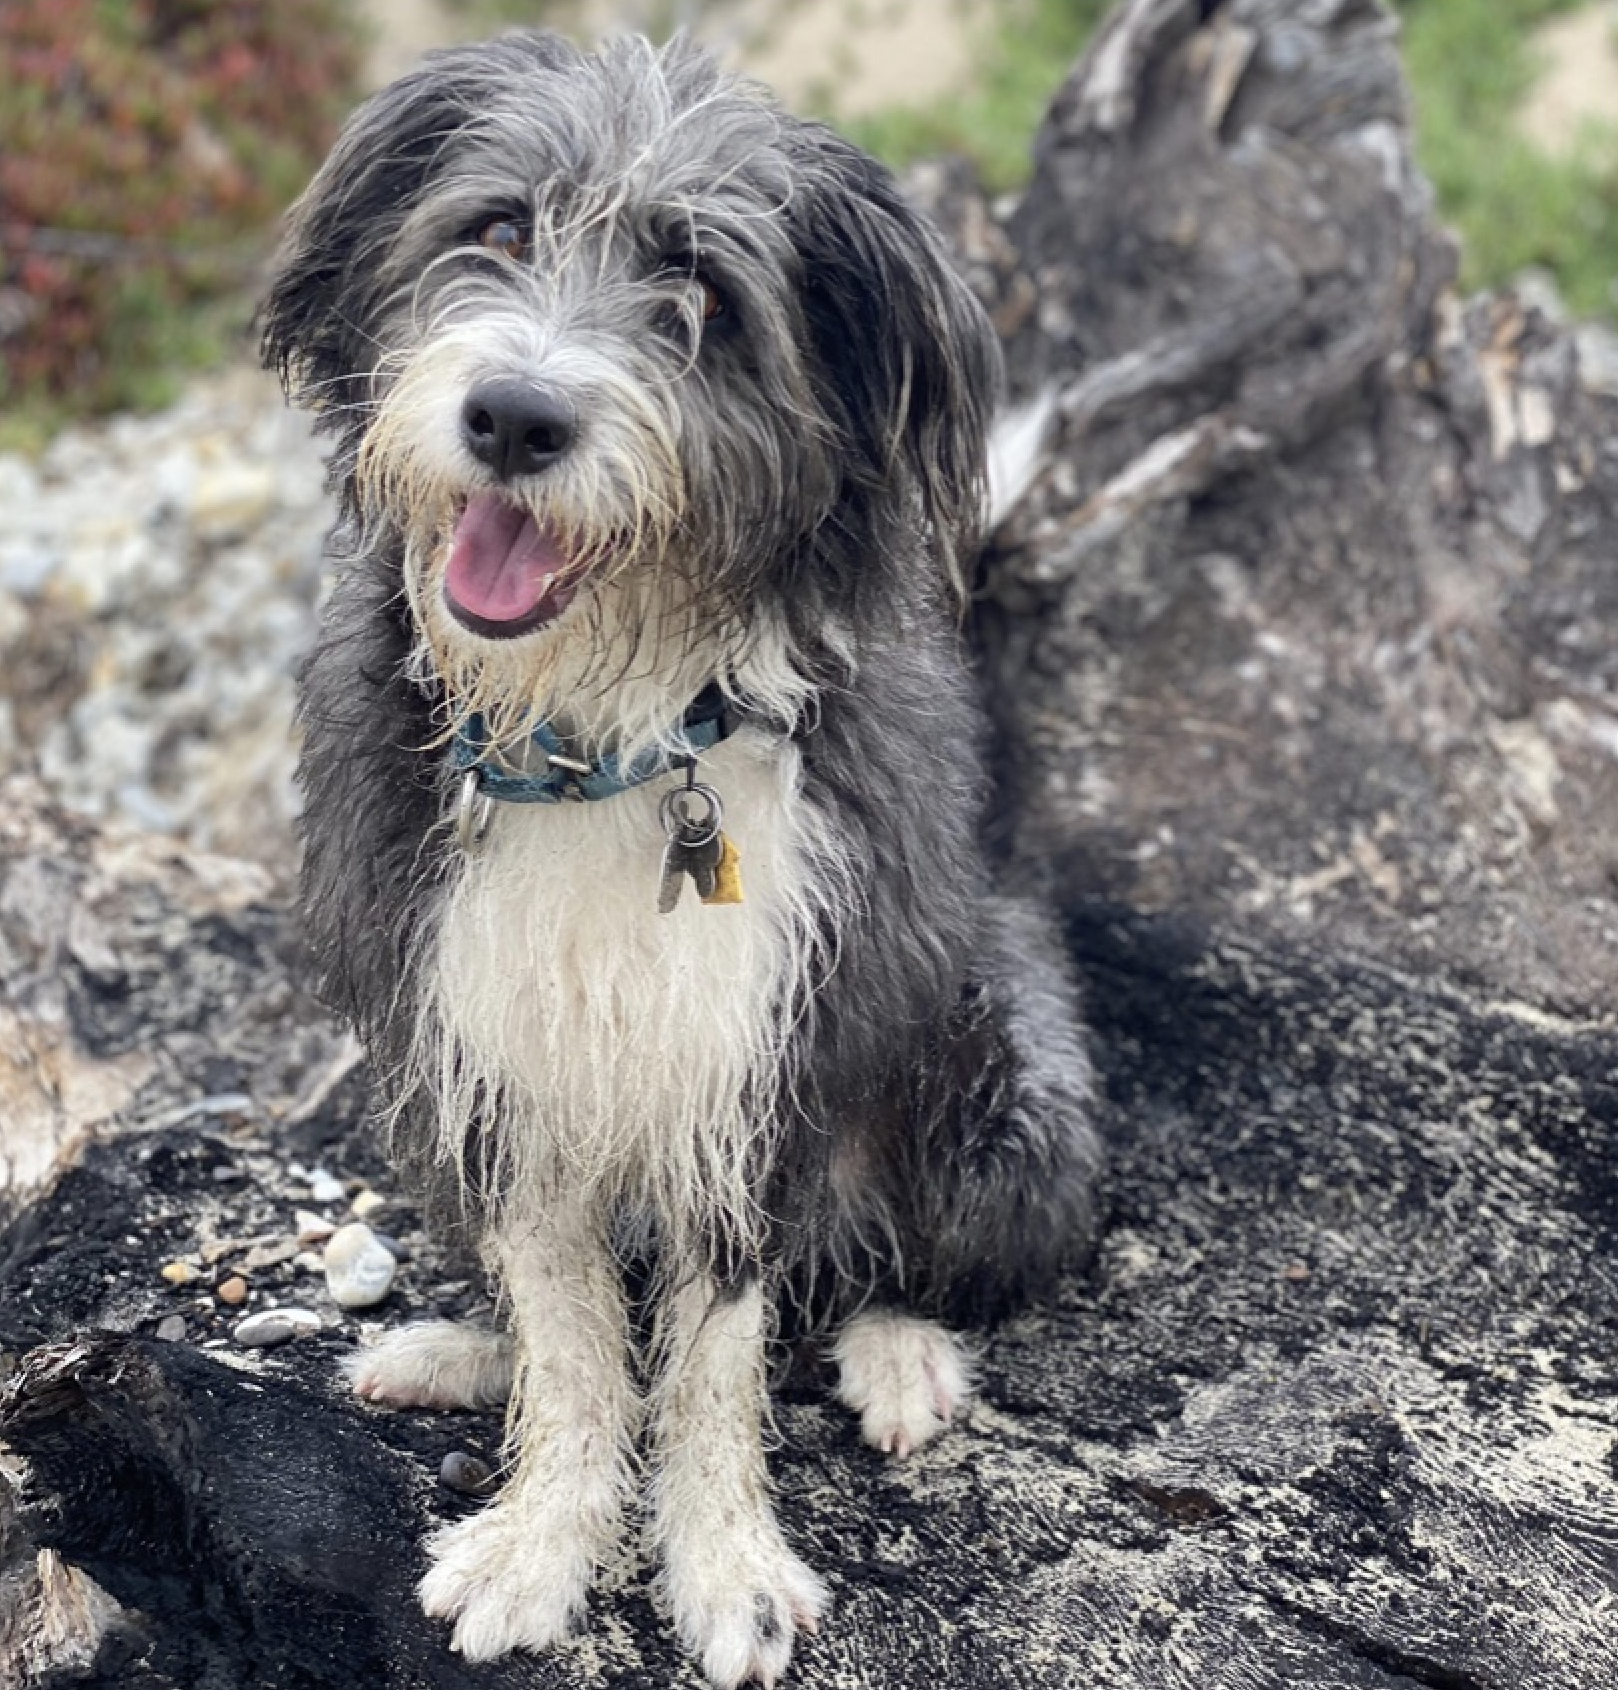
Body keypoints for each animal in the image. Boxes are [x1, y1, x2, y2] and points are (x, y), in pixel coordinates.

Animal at [262, 29, 1095, 1690]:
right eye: (496, 226)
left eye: (701, 296)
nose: (514, 417)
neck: (601, 740)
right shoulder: (479, 1036)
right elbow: (578, 1331)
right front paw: (541, 1535)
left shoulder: (760, 1047)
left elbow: (712, 1354)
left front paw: (725, 1568)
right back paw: (451, 1346)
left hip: (1010, 1091)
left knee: (884, 1253)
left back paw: (900, 1351)